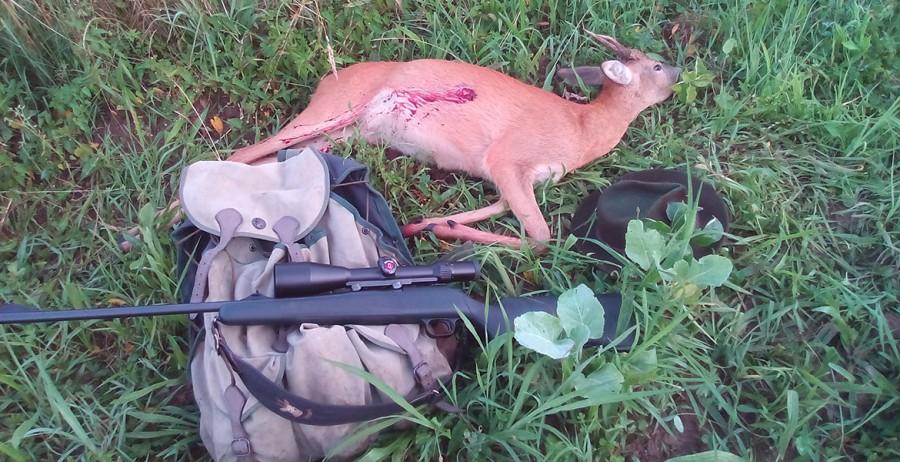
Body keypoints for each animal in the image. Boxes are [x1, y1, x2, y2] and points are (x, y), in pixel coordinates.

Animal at [180, 32, 680, 250]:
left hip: (340, 134)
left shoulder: (516, 180)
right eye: (656, 66)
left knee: (273, 164)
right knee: (247, 150)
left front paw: (431, 225)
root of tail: (327, 78)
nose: (678, 72)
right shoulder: (507, 158)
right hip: (338, 109)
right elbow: (541, 237)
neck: (581, 129)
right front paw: (437, 229)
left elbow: (502, 210)